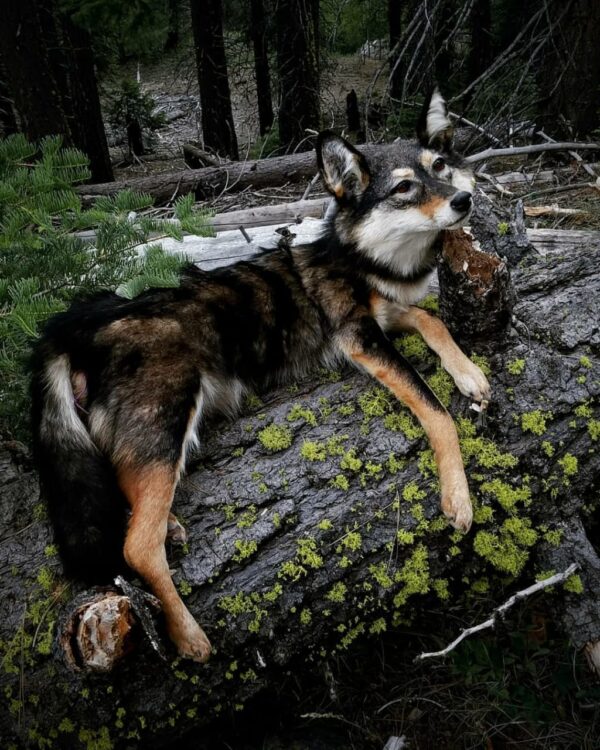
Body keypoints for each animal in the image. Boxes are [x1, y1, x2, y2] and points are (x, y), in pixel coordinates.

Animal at [31, 89, 490, 663]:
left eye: (441, 168)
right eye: (405, 187)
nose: (464, 201)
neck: (365, 257)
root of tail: (75, 326)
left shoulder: (386, 317)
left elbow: (433, 320)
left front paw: (469, 373)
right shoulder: (359, 337)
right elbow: (437, 410)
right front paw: (458, 498)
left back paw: (171, 528)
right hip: (168, 417)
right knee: (136, 546)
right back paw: (188, 635)